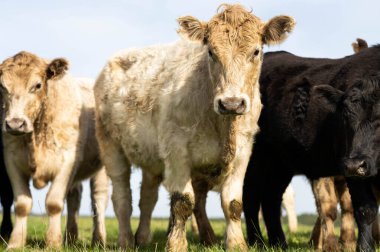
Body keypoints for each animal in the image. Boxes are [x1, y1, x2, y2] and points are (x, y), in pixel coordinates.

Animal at [0, 51, 110, 248]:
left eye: (37, 85)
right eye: (2, 86)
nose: (15, 123)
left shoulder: (67, 162)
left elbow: (54, 203)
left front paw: (52, 243)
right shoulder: (12, 162)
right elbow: (21, 204)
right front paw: (15, 243)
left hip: (102, 167)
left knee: (98, 200)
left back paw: (99, 240)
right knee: (75, 198)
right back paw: (70, 238)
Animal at [93, 3, 296, 250]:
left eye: (256, 52)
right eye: (211, 52)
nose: (231, 103)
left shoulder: (243, 153)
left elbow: (233, 203)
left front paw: (236, 244)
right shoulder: (176, 152)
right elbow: (183, 202)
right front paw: (176, 245)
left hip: (152, 159)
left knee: (147, 198)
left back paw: (143, 238)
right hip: (111, 146)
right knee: (122, 198)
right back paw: (125, 241)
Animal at [242, 40, 380, 250]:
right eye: (345, 117)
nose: (355, 164)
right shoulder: (353, 170)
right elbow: (366, 209)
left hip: (281, 163)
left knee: (271, 197)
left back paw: (278, 242)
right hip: (255, 156)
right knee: (250, 193)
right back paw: (256, 241)